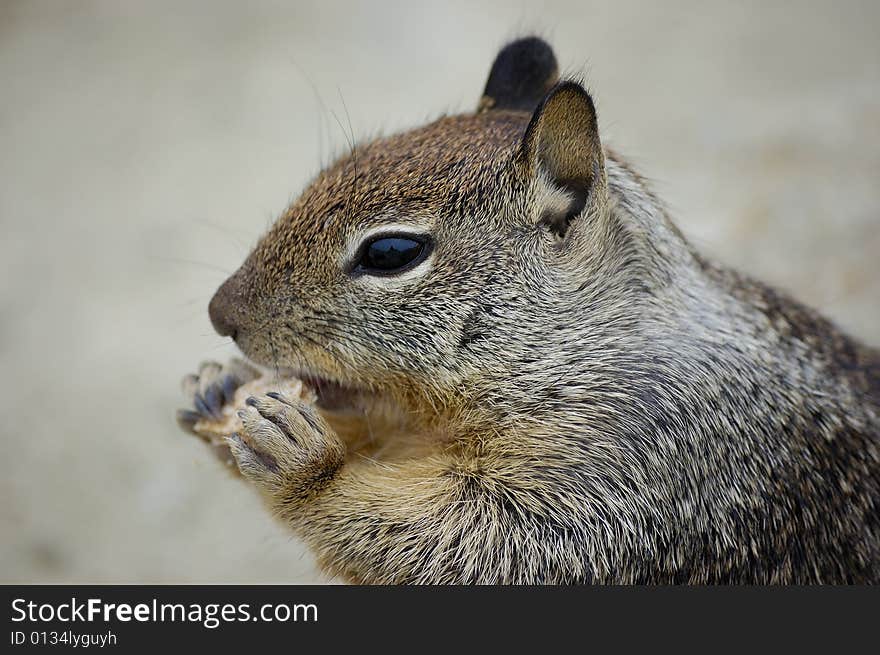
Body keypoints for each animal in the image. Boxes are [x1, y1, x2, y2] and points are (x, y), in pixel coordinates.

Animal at [175, 38, 876, 584]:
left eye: (391, 252)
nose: (220, 314)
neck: (590, 350)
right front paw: (218, 389)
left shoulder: (631, 483)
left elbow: (465, 548)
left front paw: (304, 462)